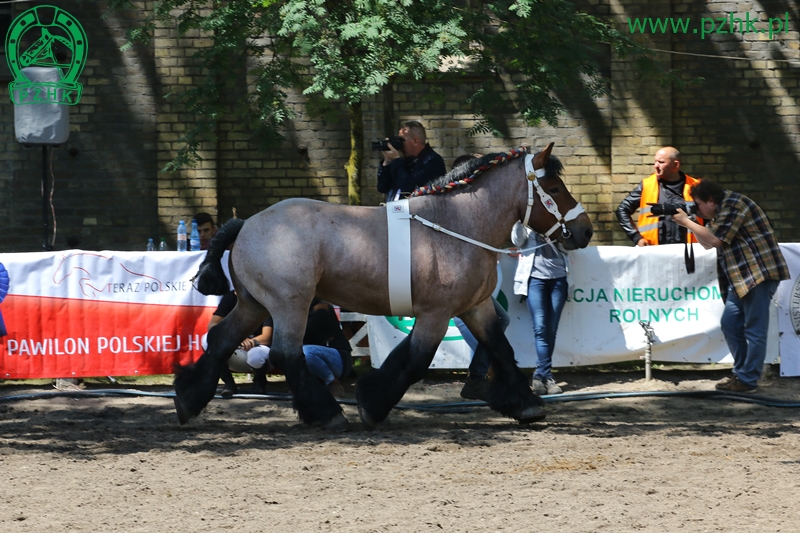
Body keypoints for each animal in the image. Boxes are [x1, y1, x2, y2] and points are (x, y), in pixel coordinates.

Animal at [175, 143, 592, 430]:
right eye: (554, 186)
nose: (584, 231)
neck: (455, 226)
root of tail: (245, 224)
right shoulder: (437, 314)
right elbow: (417, 360)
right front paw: (372, 405)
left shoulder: (476, 307)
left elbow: (500, 349)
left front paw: (525, 404)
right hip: (289, 305)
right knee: (286, 354)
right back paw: (326, 414)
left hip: (253, 305)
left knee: (221, 340)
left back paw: (187, 399)